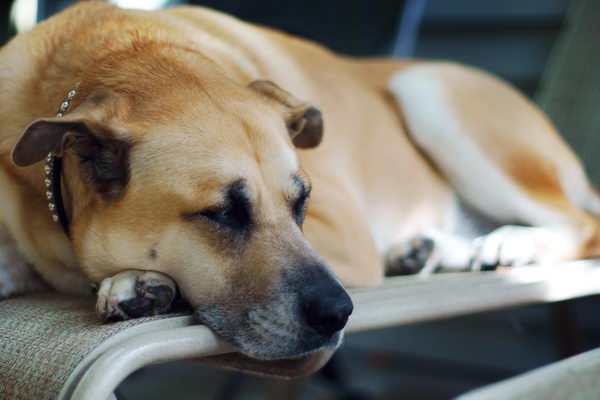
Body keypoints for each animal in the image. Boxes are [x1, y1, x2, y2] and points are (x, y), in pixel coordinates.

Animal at [1, 1, 600, 360]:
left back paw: (513, 243)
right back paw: (430, 251)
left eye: (302, 204)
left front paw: (134, 283)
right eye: (221, 213)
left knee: (581, 225)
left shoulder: (348, 233)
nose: (340, 314)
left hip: (428, 90)